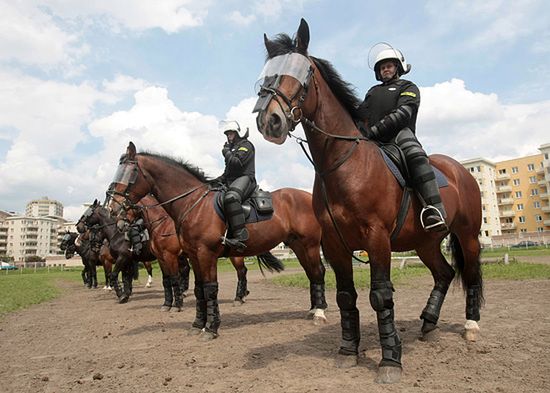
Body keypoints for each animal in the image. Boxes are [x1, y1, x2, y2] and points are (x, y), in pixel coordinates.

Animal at [110, 142, 330, 338]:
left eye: (129, 172)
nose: (113, 209)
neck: (194, 204)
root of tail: (308, 197)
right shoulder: (192, 256)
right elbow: (199, 289)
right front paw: (198, 324)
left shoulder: (205, 254)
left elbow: (209, 288)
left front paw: (211, 328)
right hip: (298, 246)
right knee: (312, 273)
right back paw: (313, 309)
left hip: (309, 245)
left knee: (318, 271)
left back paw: (319, 312)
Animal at [253, 19, 484, 382]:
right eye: (266, 74)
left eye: (303, 71)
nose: (269, 121)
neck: (344, 164)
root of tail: (461, 170)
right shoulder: (334, 244)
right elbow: (346, 296)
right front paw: (348, 351)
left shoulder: (376, 239)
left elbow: (380, 295)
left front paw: (390, 360)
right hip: (426, 242)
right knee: (444, 274)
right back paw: (428, 324)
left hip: (468, 235)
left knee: (471, 273)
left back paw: (471, 325)